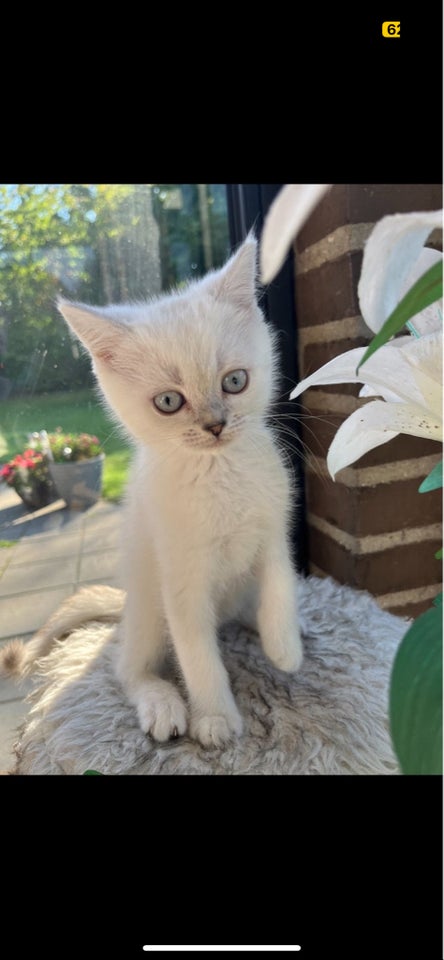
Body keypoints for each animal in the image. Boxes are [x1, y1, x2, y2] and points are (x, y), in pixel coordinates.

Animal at [58, 236, 302, 748]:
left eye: (235, 381)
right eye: (169, 402)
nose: (215, 424)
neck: (220, 474)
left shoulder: (273, 530)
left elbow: (279, 582)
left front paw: (284, 645)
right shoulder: (181, 575)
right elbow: (196, 653)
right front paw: (215, 719)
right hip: (149, 604)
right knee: (127, 668)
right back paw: (163, 704)